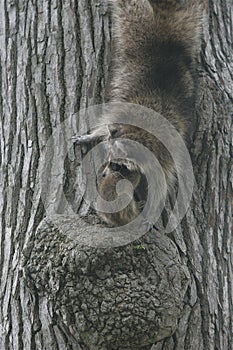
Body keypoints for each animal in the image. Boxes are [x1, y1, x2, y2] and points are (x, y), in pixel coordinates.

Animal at [76, 0, 202, 227]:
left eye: (116, 165)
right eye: (108, 158)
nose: (103, 173)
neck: (140, 134)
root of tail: (163, 34)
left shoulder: (164, 156)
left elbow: (162, 184)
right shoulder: (122, 113)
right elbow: (105, 125)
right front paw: (94, 135)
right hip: (137, 22)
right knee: (129, 6)